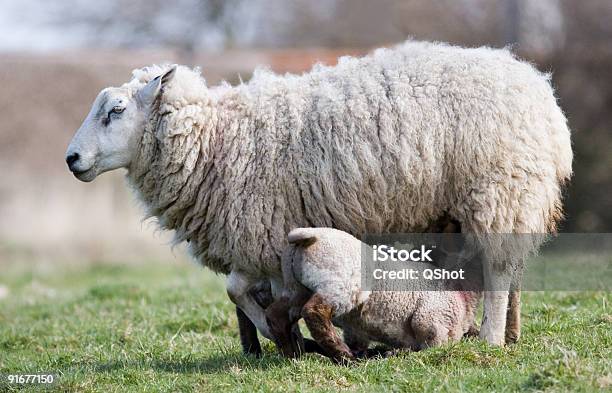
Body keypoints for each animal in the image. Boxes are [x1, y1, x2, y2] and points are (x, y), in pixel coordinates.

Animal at [266, 227, 480, 362]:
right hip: (340, 284)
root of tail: (308, 236)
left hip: (295, 288)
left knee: (276, 314)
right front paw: (394, 354)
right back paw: (345, 358)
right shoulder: (433, 324)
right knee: (314, 312)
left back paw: (291, 354)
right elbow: (427, 348)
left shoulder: (356, 331)